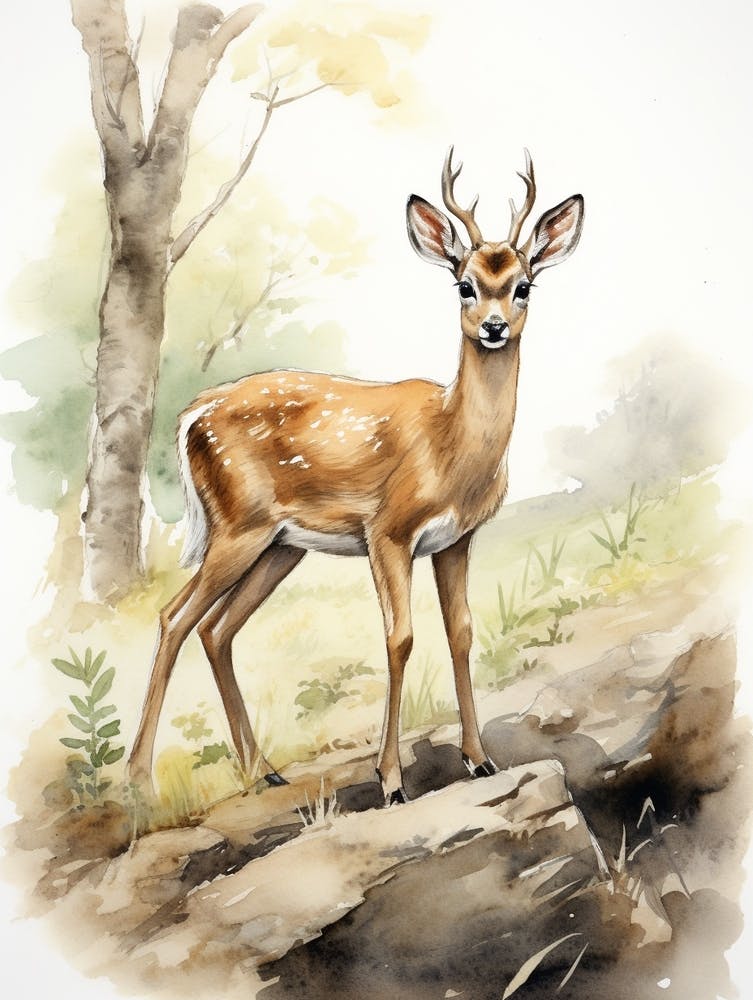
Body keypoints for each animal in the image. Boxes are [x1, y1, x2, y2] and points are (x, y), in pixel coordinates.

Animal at [128, 149, 584, 805]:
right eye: (464, 284)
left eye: (523, 286)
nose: (494, 326)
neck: (452, 446)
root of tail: (192, 415)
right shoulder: (387, 529)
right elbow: (400, 638)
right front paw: (391, 780)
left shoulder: (457, 539)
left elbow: (462, 632)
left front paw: (479, 759)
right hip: (237, 525)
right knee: (174, 618)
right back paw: (139, 780)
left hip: (279, 546)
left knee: (216, 628)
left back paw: (262, 769)